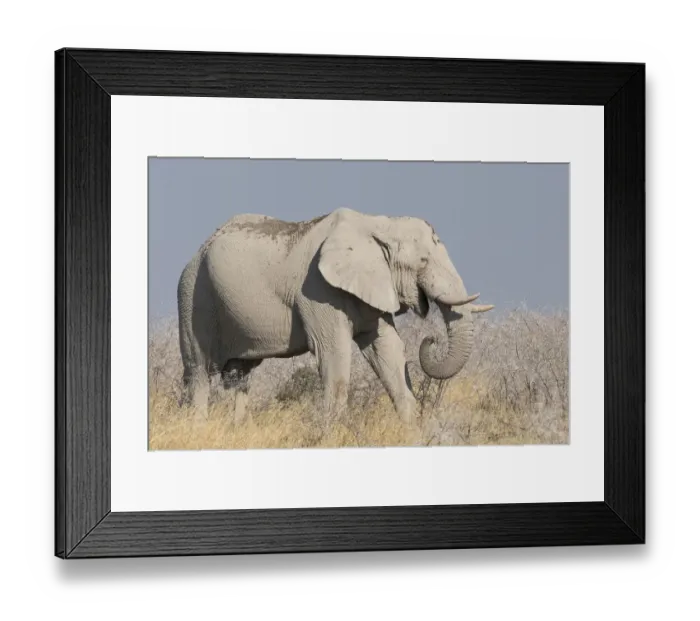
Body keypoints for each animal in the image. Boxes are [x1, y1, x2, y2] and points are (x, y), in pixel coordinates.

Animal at [177, 207, 494, 424]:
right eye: (424, 261)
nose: (431, 340)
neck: (377, 224)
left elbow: (388, 350)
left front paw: (412, 429)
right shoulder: (318, 289)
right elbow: (333, 352)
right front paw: (332, 433)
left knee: (239, 377)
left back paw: (239, 427)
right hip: (193, 295)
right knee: (199, 371)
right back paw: (198, 428)